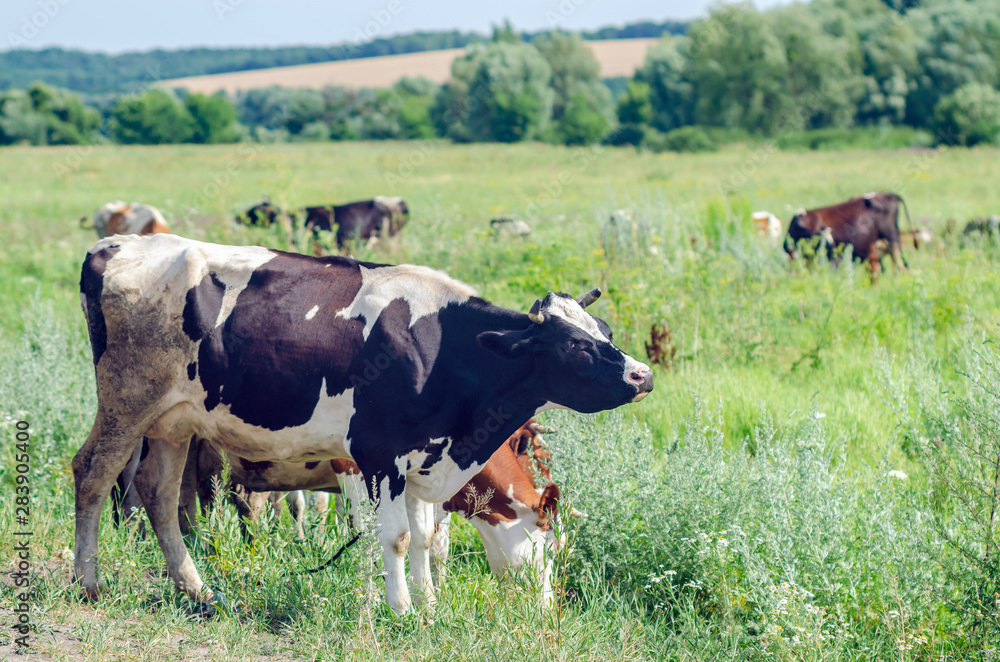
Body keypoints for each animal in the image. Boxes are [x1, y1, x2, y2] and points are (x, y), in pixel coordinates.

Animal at [75, 233, 652, 615]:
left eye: (603, 330)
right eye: (576, 346)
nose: (642, 374)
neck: (443, 349)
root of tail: (116, 245)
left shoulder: (421, 461)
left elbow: (424, 540)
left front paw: (429, 607)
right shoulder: (375, 457)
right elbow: (392, 538)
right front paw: (399, 611)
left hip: (174, 422)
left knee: (159, 494)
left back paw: (198, 591)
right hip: (127, 402)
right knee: (93, 476)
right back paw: (89, 582)